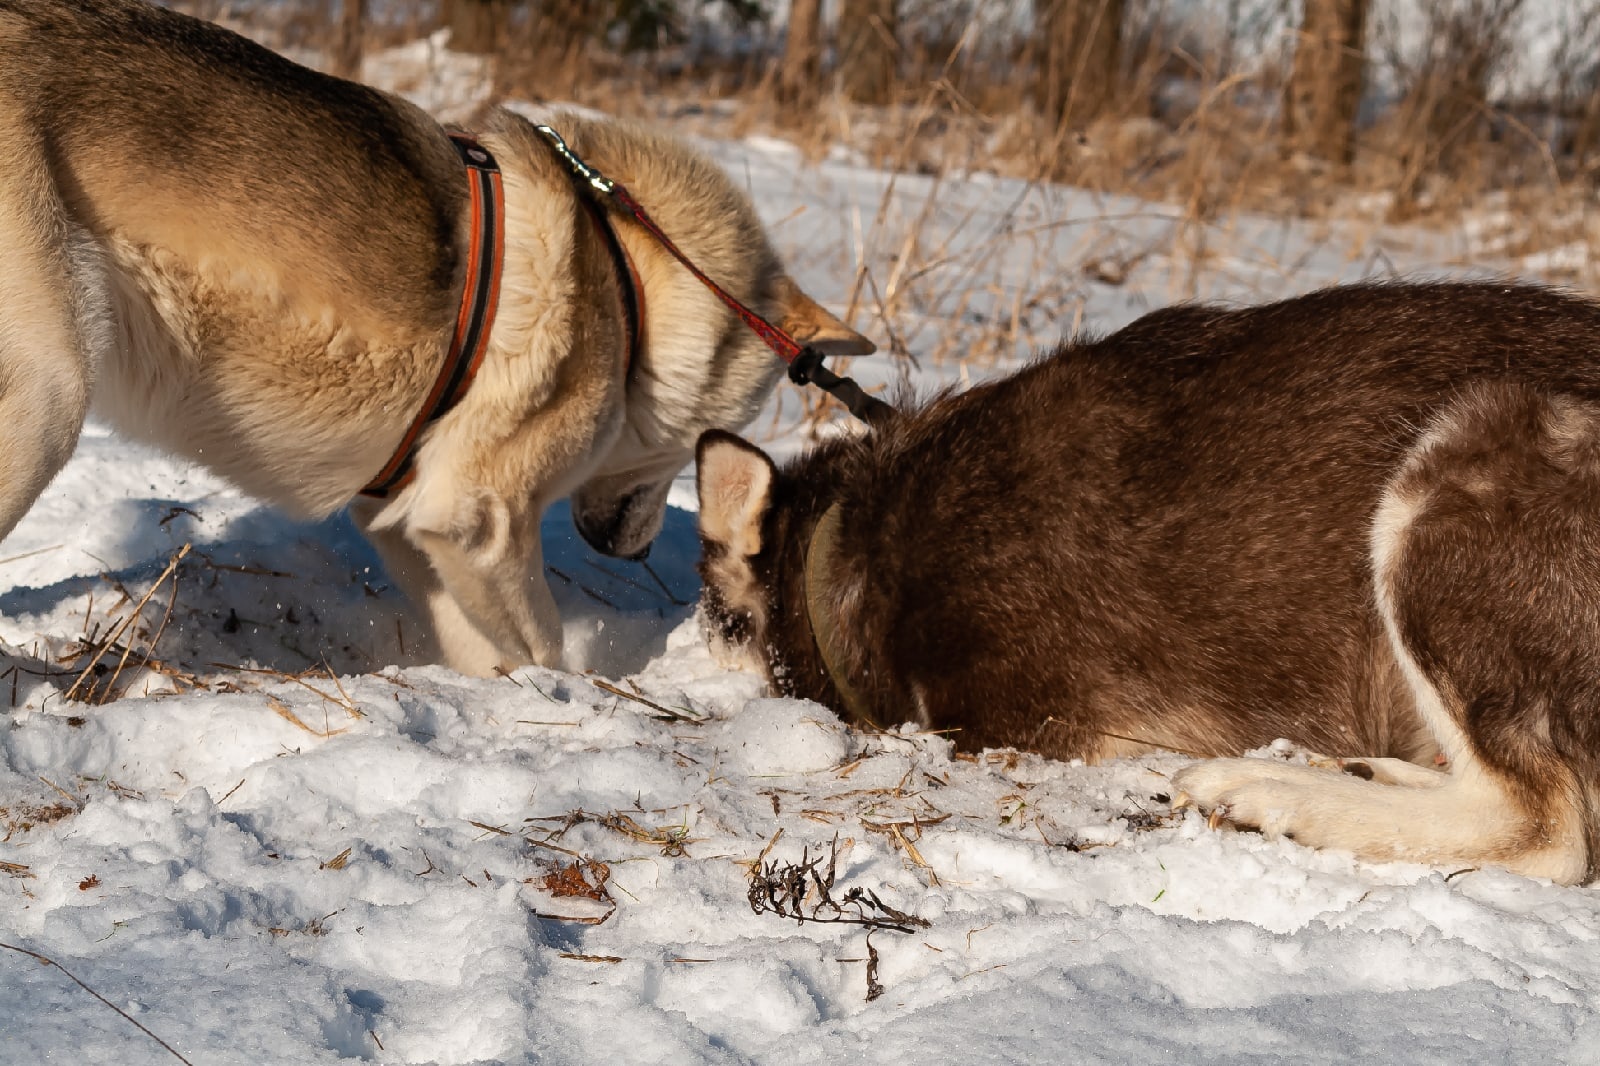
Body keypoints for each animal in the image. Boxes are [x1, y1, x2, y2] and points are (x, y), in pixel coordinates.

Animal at [0, 2, 870, 672]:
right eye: (709, 439)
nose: (631, 555)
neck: (623, 271)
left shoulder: (412, 519)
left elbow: (486, 651)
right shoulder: (480, 518)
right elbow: (543, 647)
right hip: (47, 403)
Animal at [700, 280, 1600, 877]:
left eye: (725, 624)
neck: (853, 538)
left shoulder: (1033, 723)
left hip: (1449, 473)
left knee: (1546, 830)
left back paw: (1268, 791)